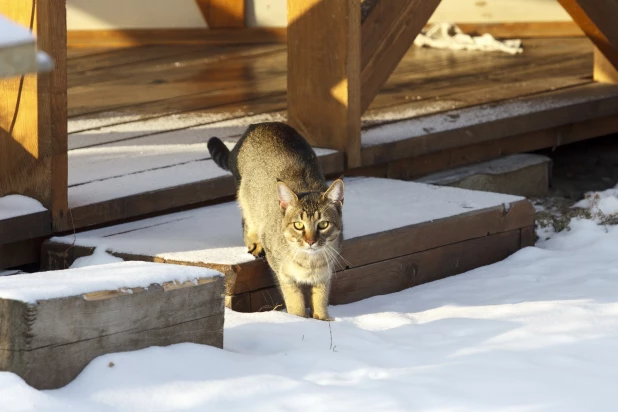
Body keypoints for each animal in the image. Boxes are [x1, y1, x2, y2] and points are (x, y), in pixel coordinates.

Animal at [206, 120, 342, 320]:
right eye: (298, 225)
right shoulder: (283, 273)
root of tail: (260, 123)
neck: (309, 261)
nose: (310, 241)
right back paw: (254, 243)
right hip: (247, 198)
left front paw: (323, 319)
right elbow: (295, 300)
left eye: (323, 224)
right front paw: (300, 320)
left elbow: (320, 298)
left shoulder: (324, 274)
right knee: (246, 222)